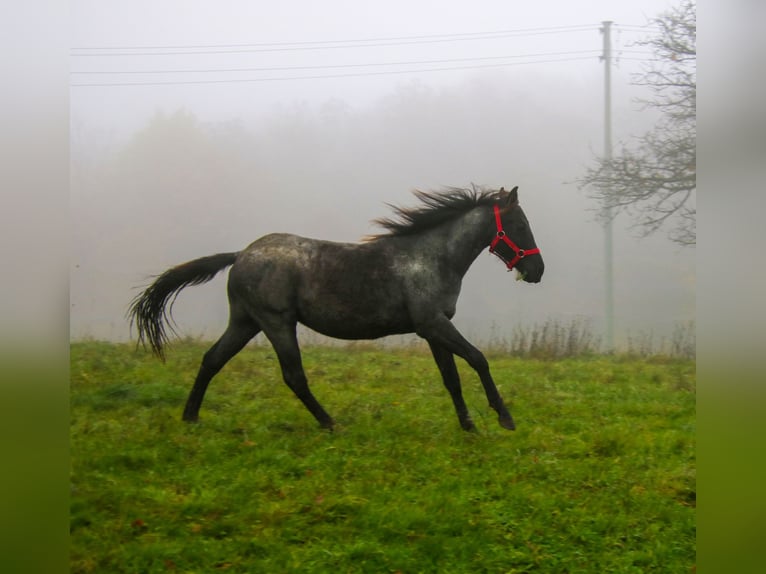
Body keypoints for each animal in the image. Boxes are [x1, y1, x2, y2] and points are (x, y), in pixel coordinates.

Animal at [128, 185, 544, 432]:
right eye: (521, 224)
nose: (537, 270)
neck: (432, 257)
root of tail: (241, 254)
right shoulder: (433, 324)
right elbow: (478, 359)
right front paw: (504, 417)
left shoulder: (433, 329)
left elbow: (452, 377)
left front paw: (468, 426)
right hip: (277, 323)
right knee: (294, 376)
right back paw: (329, 423)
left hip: (246, 322)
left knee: (212, 360)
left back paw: (190, 417)